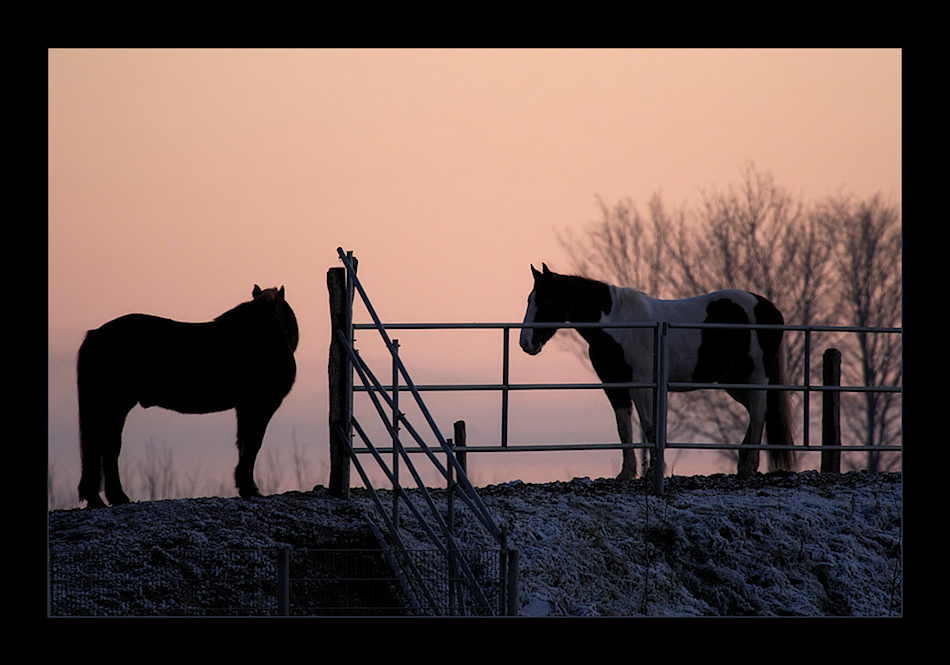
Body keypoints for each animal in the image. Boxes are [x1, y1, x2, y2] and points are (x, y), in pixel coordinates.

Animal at [79, 286, 302, 508]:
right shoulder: (261, 405)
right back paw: (97, 499)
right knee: (98, 446)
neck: (265, 336)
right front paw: (250, 488)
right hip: (114, 405)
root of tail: (95, 334)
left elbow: (243, 443)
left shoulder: (244, 407)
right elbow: (253, 445)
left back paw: (116, 497)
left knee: (109, 448)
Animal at [520, 264, 796, 478]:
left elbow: (650, 427)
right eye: (529, 300)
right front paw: (627, 473)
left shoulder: (641, 384)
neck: (619, 325)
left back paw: (749, 467)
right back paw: (742, 462)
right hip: (734, 381)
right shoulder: (614, 384)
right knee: (754, 412)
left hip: (756, 376)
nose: (526, 343)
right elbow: (624, 428)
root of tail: (769, 308)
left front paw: (653, 471)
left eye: (545, 301)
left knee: (759, 412)